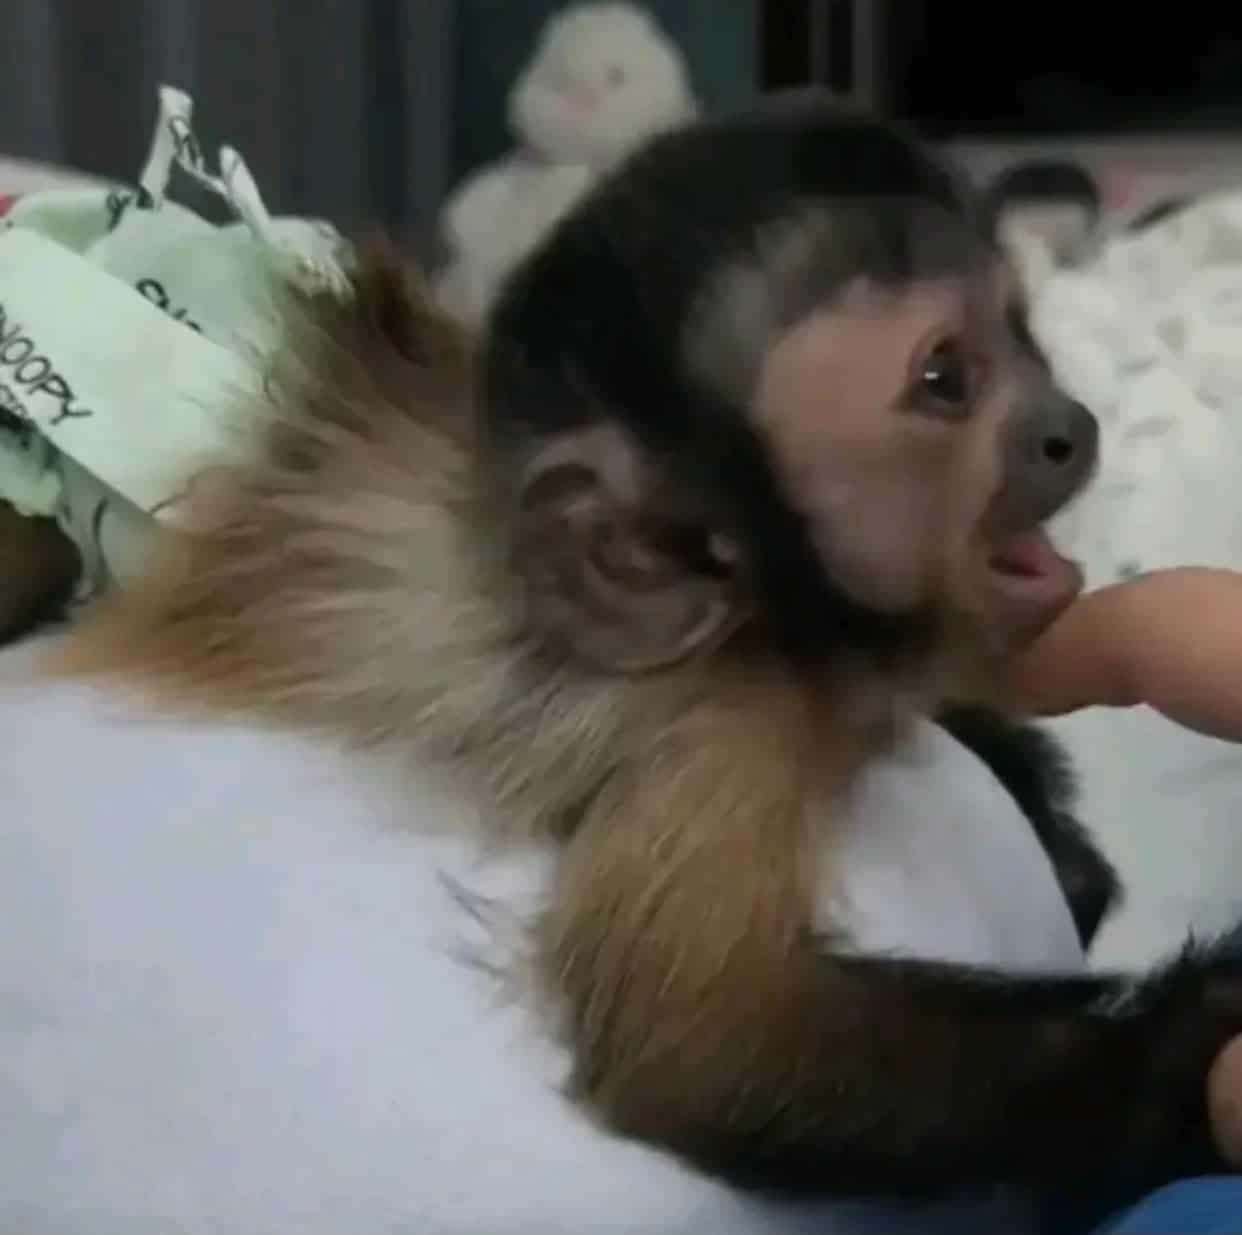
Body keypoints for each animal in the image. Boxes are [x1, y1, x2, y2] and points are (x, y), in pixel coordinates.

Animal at [46, 89, 1242, 1206]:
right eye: (946, 379)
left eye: (1020, 331)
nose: (1068, 425)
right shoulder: (732, 716)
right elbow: (700, 1043)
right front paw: (1194, 1044)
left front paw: (1047, 811)